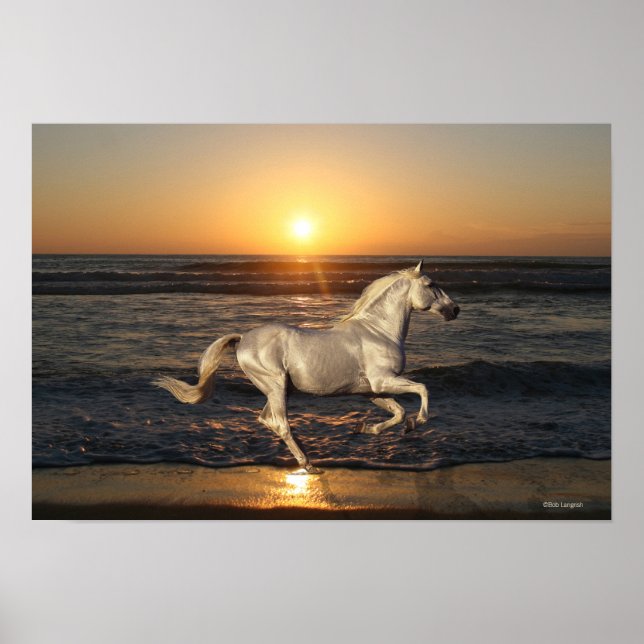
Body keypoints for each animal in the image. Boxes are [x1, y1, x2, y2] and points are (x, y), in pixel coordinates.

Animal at [153, 260, 460, 473]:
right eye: (431, 284)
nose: (455, 310)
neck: (378, 331)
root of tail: (243, 338)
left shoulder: (371, 391)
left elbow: (397, 413)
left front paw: (365, 428)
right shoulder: (383, 381)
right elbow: (422, 389)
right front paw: (416, 423)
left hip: (278, 390)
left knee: (267, 420)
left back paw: (307, 454)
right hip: (275, 386)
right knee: (280, 424)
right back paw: (308, 463)